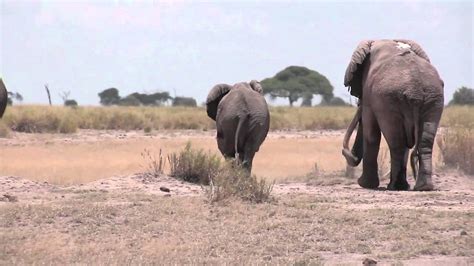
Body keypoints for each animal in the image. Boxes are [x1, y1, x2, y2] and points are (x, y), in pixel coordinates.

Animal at [340, 39, 444, 191]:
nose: (347, 154)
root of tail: (415, 90)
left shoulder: (371, 97)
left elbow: (370, 134)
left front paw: (365, 184)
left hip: (389, 100)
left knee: (396, 141)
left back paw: (395, 186)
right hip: (433, 98)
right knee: (424, 141)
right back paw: (423, 187)